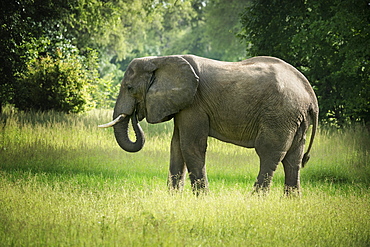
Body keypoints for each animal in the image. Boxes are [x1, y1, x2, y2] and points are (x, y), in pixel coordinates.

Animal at [98, 55, 318, 196]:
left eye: (129, 88)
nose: (136, 114)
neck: (160, 60)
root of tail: (310, 95)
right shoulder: (182, 104)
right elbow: (176, 146)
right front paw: (173, 198)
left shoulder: (194, 103)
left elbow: (190, 146)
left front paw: (201, 197)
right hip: (295, 118)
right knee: (293, 158)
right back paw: (292, 200)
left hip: (280, 114)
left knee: (269, 152)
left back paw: (255, 198)